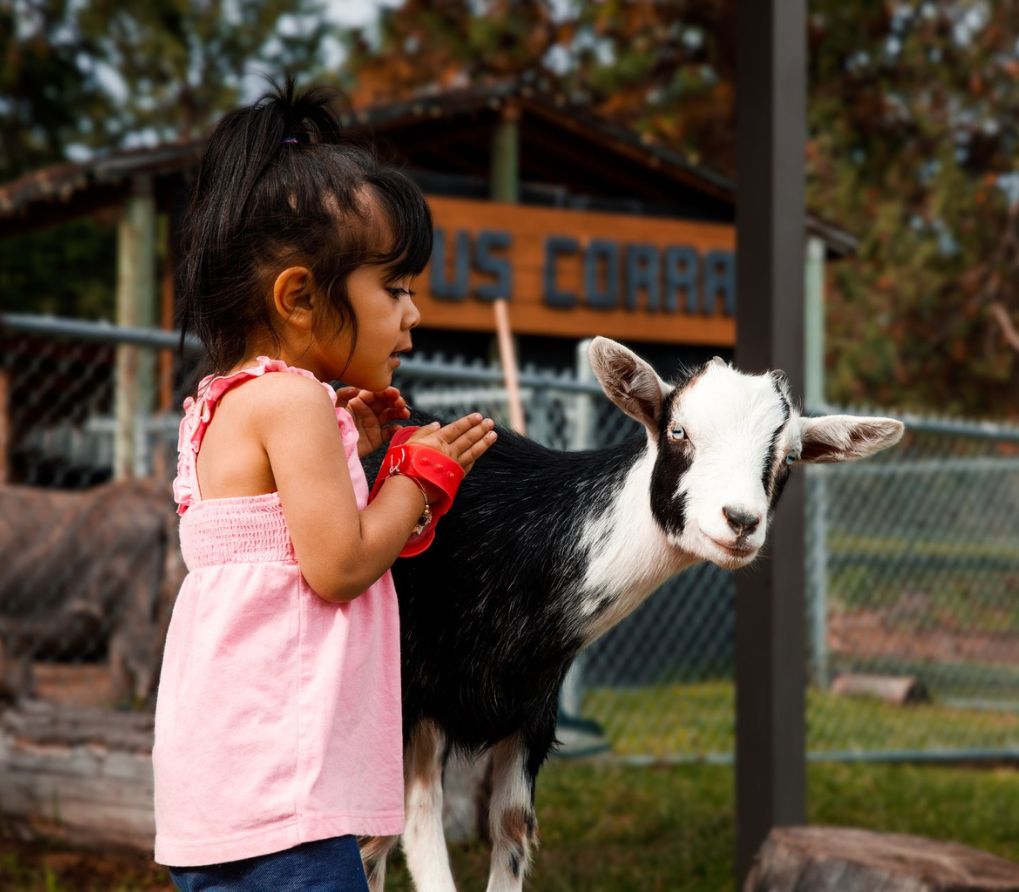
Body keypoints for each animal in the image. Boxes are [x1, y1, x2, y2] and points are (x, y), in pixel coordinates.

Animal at [362, 338, 904, 888]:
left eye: (790, 455)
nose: (741, 521)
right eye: (678, 431)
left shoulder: (529, 713)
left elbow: (510, 829)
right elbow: (371, 842)